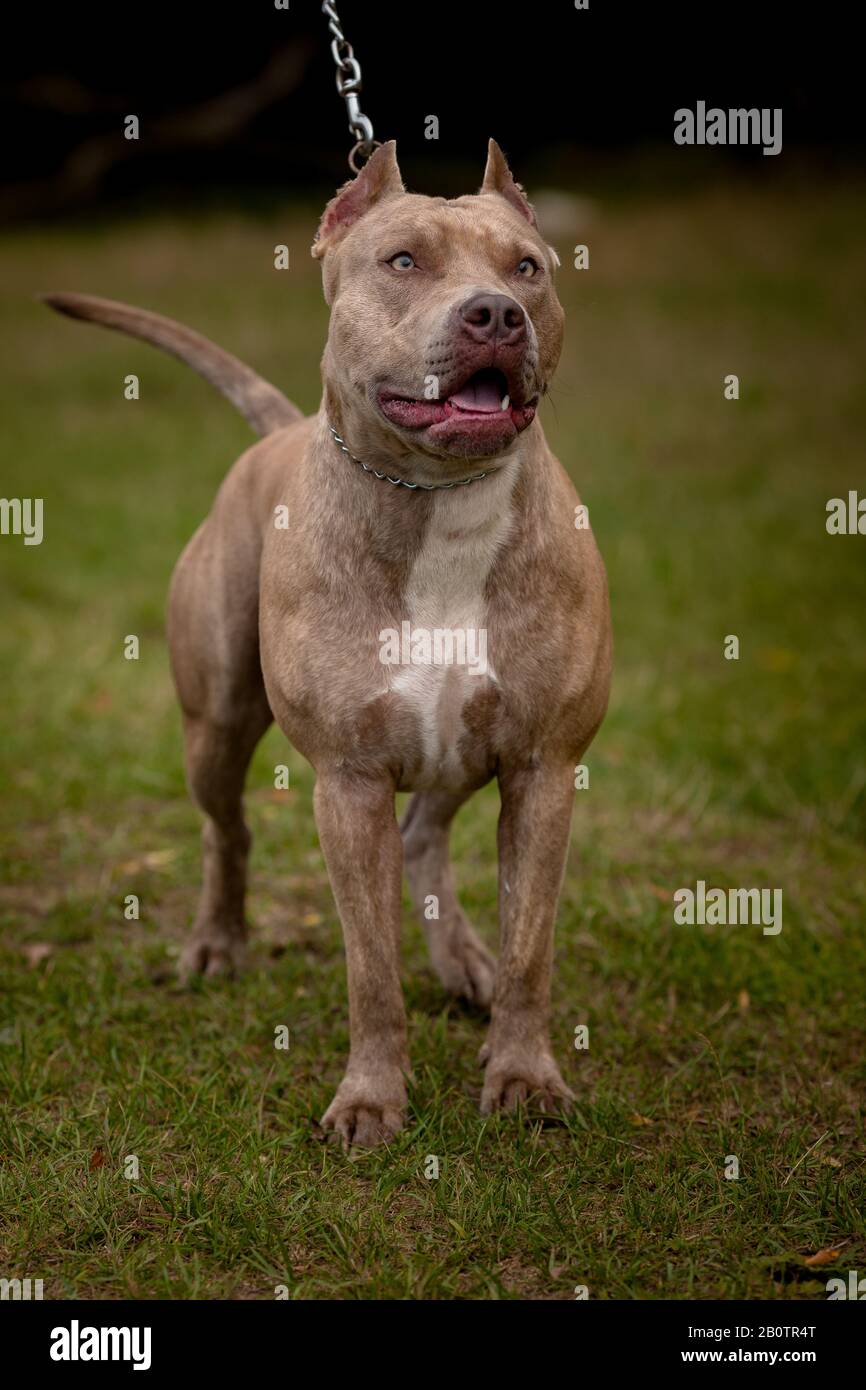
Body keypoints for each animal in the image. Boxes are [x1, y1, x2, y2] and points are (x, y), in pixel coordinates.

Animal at [40, 141, 608, 1150]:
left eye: (528, 269)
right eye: (403, 261)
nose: (495, 314)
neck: (438, 500)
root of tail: (282, 429)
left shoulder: (544, 767)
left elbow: (531, 950)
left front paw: (524, 1077)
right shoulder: (349, 780)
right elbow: (369, 970)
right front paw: (372, 1100)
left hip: (461, 750)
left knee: (425, 837)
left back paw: (464, 958)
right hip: (217, 723)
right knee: (227, 828)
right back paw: (217, 945)